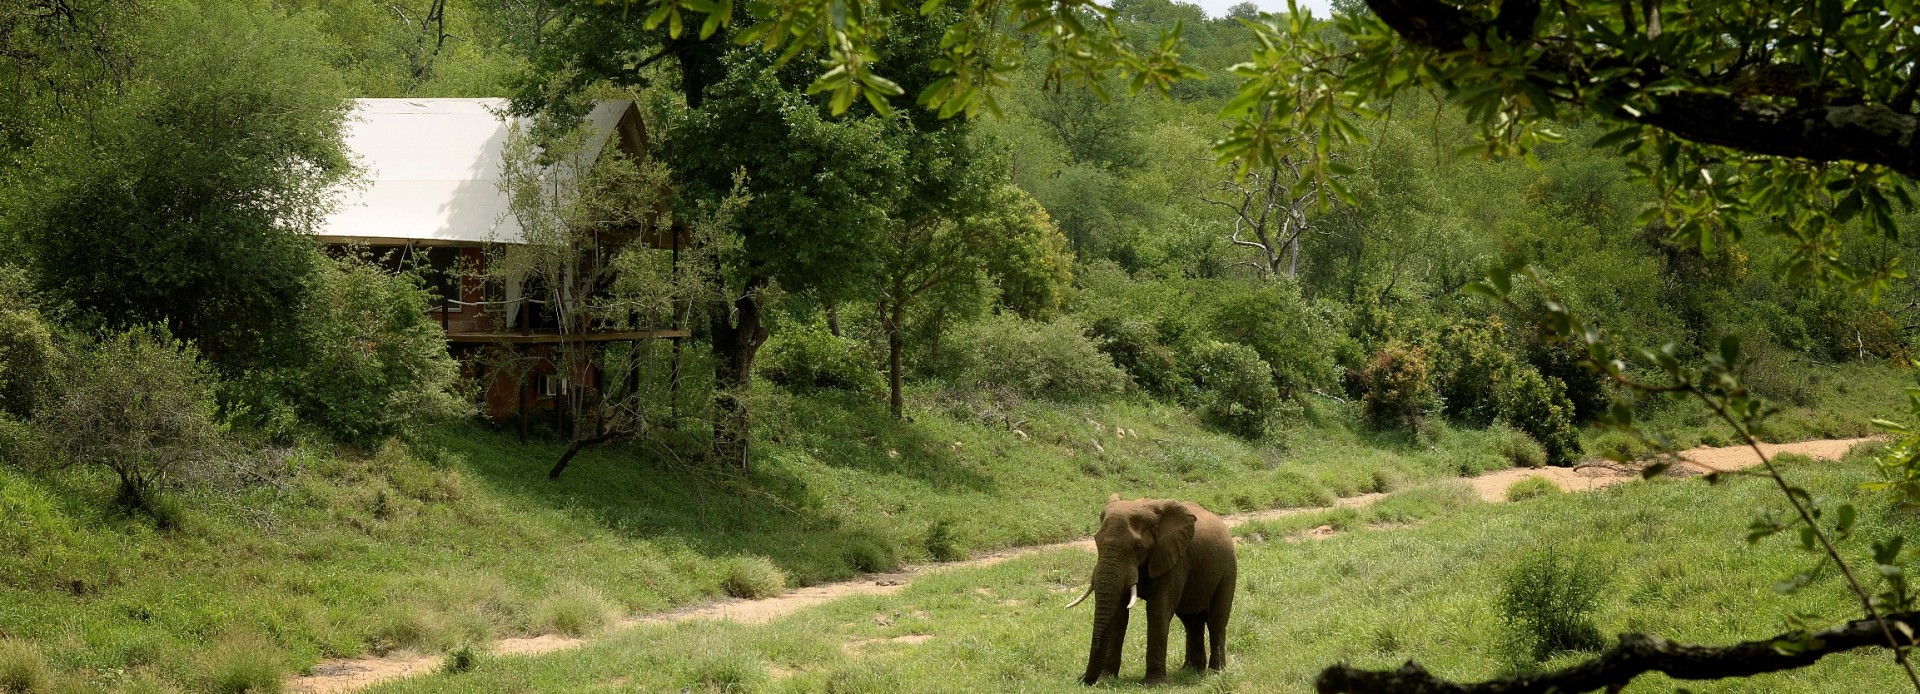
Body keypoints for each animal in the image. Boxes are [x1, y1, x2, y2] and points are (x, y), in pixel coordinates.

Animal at [1059, 492, 1236, 680]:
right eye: (1096, 541)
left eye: (1138, 547)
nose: (1082, 680)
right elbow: (1118, 614)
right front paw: (1106, 679)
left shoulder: (1174, 559)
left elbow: (1158, 610)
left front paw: (1153, 682)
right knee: (1191, 620)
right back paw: (1190, 670)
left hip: (1228, 569)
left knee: (1216, 620)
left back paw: (1215, 672)